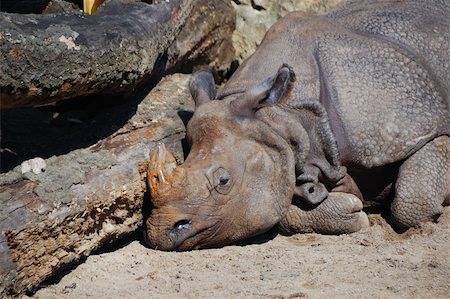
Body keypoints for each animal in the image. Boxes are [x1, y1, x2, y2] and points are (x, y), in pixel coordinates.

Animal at [145, 0, 450, 252]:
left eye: (223, 181)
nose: (160, 232)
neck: (282, 118)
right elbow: (282, 207)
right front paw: (350, 211)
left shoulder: (410, 121)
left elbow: (413, 203)